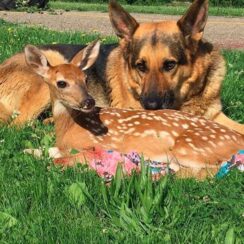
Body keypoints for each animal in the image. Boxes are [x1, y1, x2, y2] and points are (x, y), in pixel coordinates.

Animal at [0, 0, 243, 133]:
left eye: (170, 64)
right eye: (140, 66)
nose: (150, 105)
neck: (186, 99)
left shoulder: (216, 117)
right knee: (18, 124)